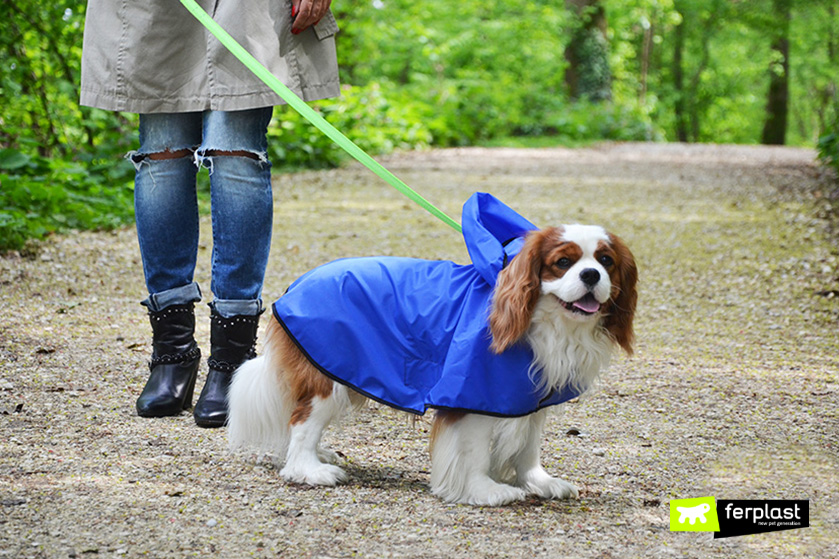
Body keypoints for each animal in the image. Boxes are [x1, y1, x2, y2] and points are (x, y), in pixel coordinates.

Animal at [225, 194, 636, 508]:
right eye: (563, 262)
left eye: (606, 261)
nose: (591, 276)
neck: (542, 320)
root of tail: (295, 285)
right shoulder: (473, 394)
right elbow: (474, 451)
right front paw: (485, 490)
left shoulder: (528, 396)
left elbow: (528, 447)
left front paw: (538, 481)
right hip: (328, 376)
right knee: (301, 423)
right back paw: (309, 469)